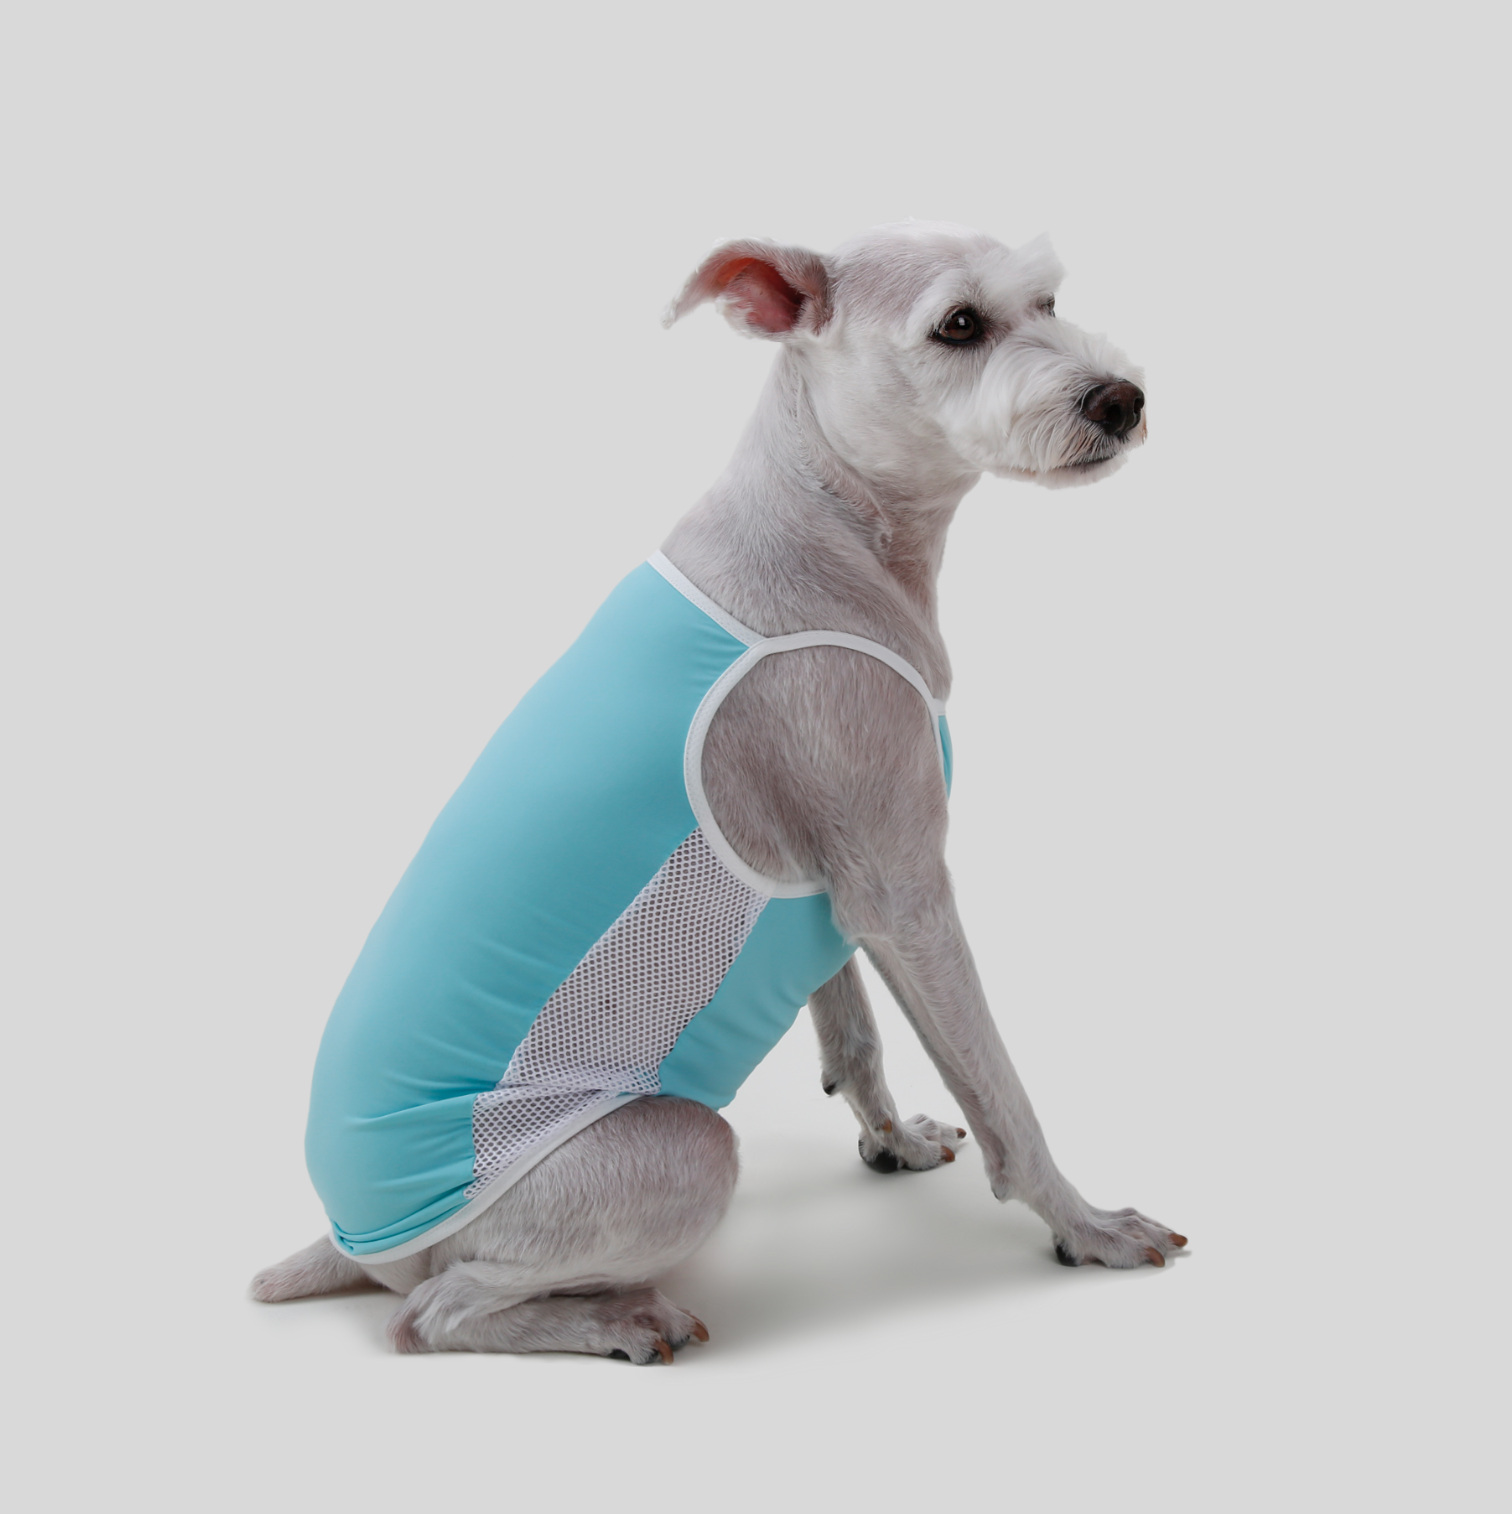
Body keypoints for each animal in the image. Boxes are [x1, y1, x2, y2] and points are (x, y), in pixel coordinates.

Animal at [253, 221, 1184, 1362]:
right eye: (959, 324)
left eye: (1049, 299)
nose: (1122, 399)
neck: (830, 520)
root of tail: (353, 1235)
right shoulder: (906, 891)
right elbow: (1001, 1083)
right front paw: (1087, 1224)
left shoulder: (836, 893)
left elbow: (854, 1032)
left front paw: (891, 1137)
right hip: (681, 1152)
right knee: (432, 1314)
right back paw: (620, 1317)